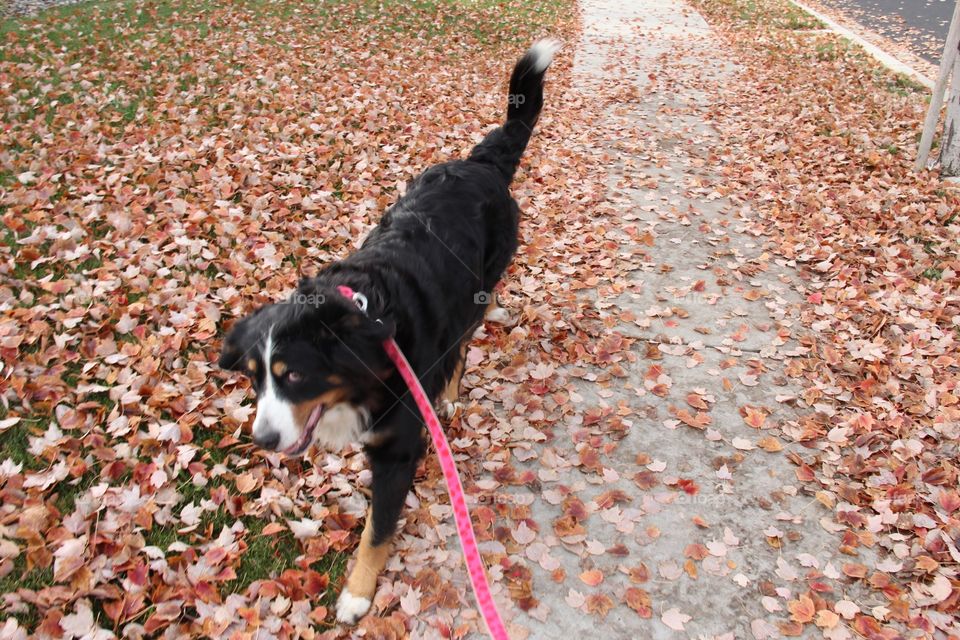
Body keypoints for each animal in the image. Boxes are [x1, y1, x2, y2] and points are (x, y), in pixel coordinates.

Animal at [218, 40, 560, 624]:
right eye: (255, 379)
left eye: (295, 376)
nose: (262, 441)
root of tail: (477, 165)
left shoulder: (398, 449)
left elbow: (376, 531)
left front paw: (357, 593)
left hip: (473, 296)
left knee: (462, 345)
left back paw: (449, 390)